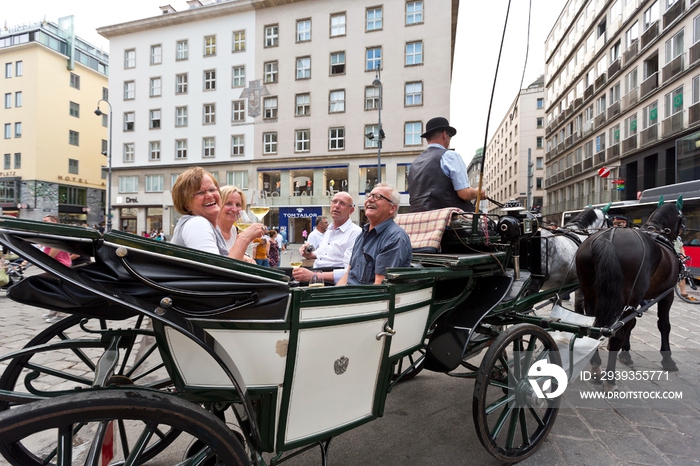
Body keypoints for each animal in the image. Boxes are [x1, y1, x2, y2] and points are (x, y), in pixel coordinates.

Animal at [576, 198, 684, 388]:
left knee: (594, 329)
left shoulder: (639, 300)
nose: (682, 233)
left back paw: (596, 368)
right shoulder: (666, 294)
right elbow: (664, 325)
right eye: (682, 218)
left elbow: (631, 324)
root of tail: (607, 238)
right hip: (629, 297)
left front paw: (626, 354)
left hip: (592, 295)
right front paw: (668, 360)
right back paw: (610, 380)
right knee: (615, 335)